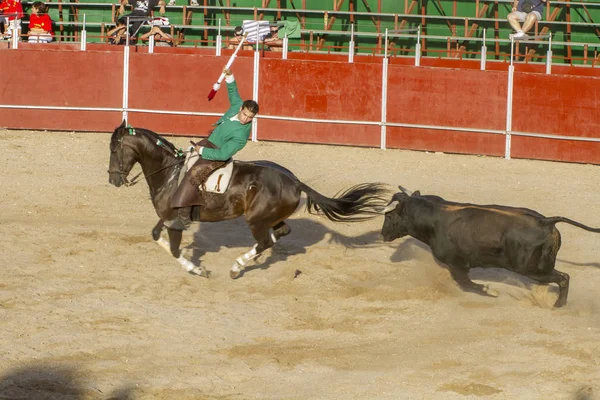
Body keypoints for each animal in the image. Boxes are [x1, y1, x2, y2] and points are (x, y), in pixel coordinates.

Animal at [108, 120, 390, 280]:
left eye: (114, 149)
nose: (113, 180)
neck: (169, 172)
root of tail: (295, 181)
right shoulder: (165, 217)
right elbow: (156, 236)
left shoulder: (174, 221)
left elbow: (175, 249)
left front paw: (198, 270)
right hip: (269, 218)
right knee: (278, 234)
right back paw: (250, 259)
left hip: (255, 219)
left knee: (265, 240)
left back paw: (237, 267)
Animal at [380, 186, 600, 308]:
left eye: (389, 216)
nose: (382, 235)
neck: (433, 217)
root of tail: (546, 221)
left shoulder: (458, 264)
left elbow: (465, 284)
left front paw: (489, 291)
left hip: (532, 269)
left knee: (563, 278)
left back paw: (558, 305)